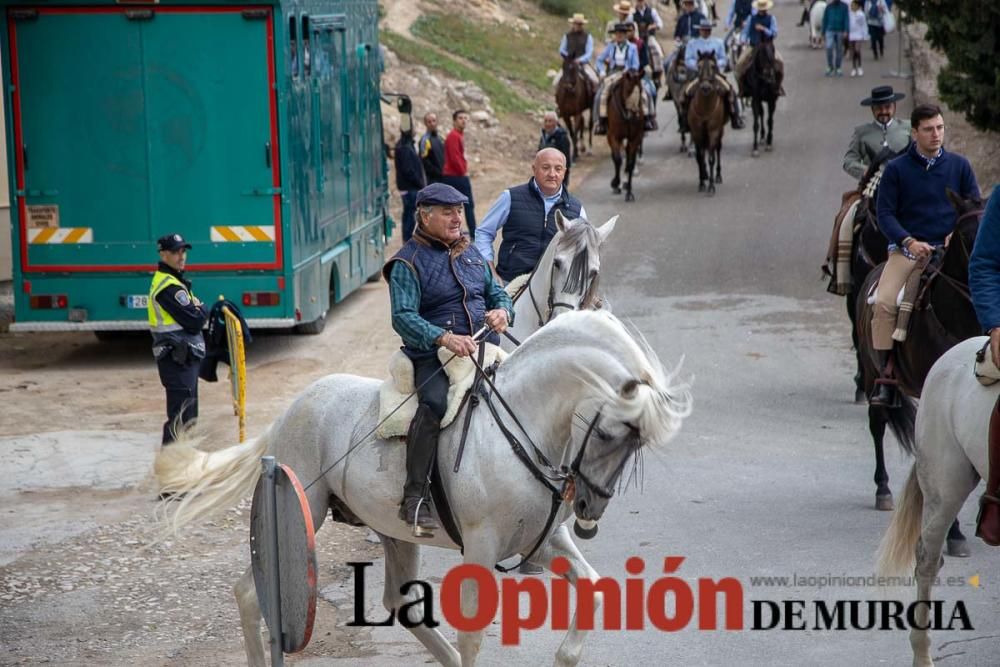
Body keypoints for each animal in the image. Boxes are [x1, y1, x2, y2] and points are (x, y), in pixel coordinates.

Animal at [156, 310, 692, 664]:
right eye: (608, 434)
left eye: (637, 445)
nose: (587, 511)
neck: (524, 425)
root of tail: (292, 410)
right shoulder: (482, 547)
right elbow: (475, 632)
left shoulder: (543, 542)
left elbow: (595, 590)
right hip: (305, 506)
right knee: (251, 593)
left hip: (393, 532)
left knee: (397, 602)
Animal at [604, 70, 644, 202]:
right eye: (628, 90)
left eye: (641, 90)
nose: (636, 114)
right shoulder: (614, 136)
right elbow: (617, 159)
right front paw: (615, 183)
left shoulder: (635, 138)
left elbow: (630, 163)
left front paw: (629, 192)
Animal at [688, 52, 728, 196]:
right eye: (698, 66)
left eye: (713, 66)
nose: (705, 88)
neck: (705, 108)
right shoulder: (697, 132)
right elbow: (700, 157)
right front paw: (701, 183)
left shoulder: (713, 131)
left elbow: (711, 158)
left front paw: (711, 186)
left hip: (720, 132)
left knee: (718, 149)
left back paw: (718, 176)